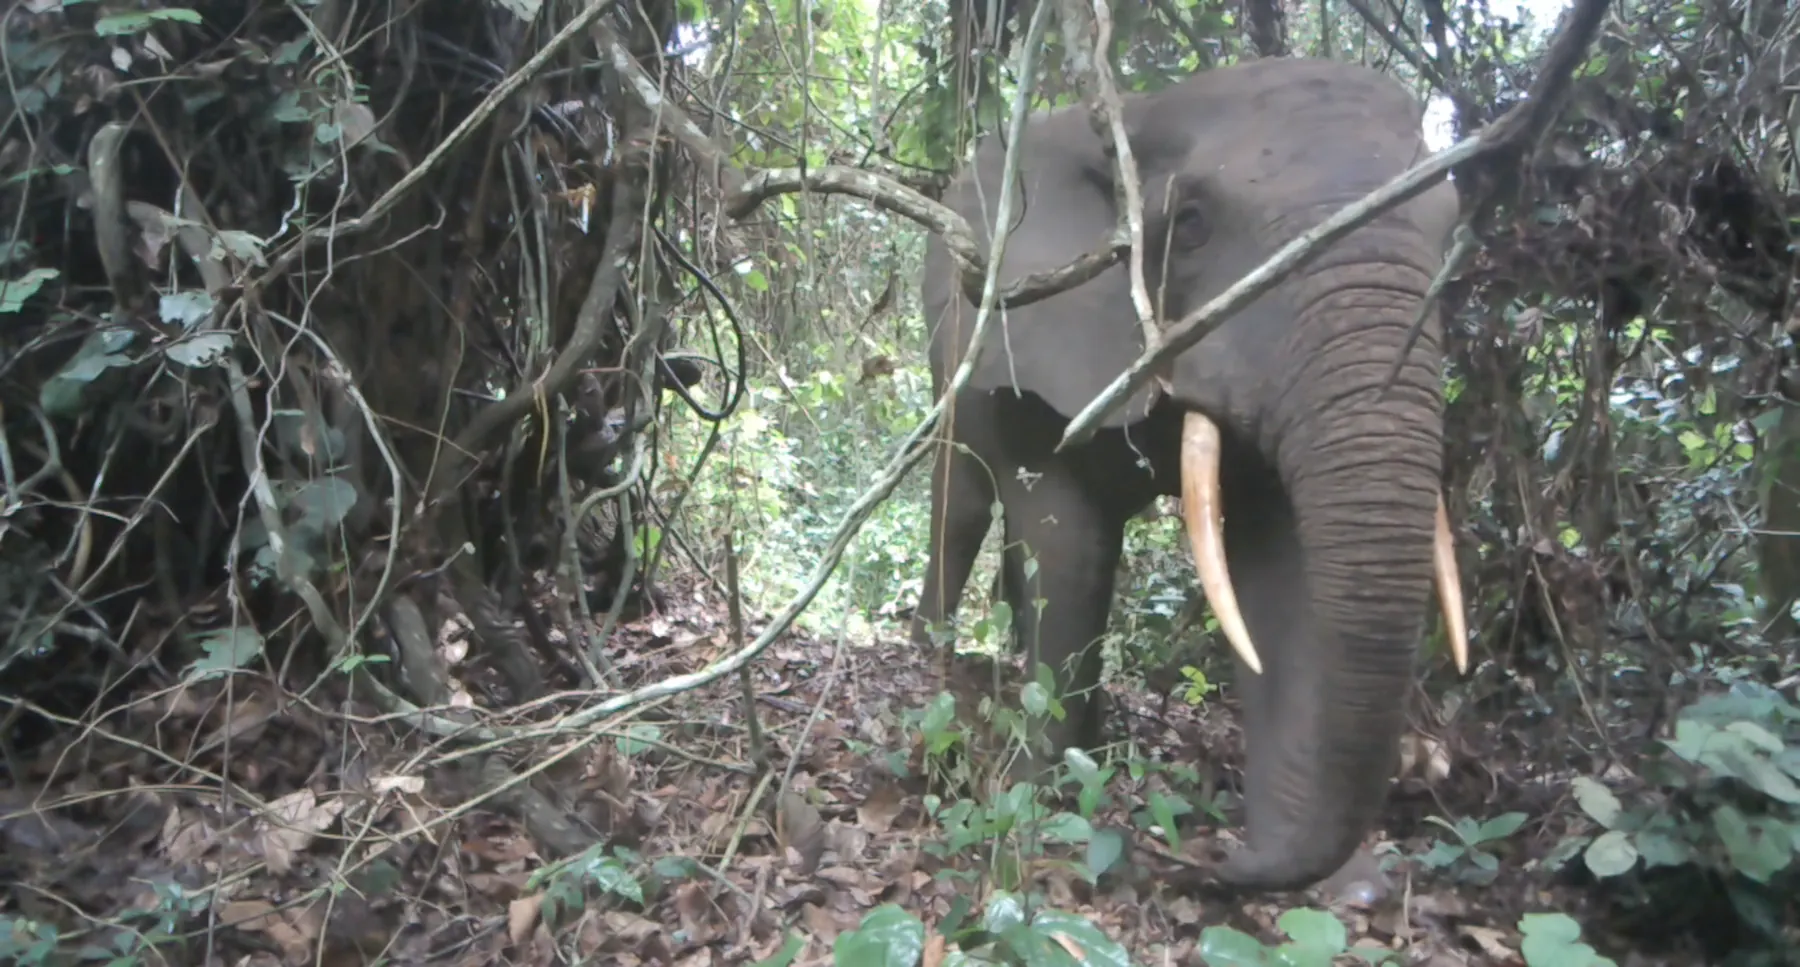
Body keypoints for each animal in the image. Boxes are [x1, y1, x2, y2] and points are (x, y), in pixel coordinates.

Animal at [909, 57, 1470, 892]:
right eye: (1194, 223)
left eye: (1448, 235)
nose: (1207, 858)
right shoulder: (1035, 332)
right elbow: (1069, 544)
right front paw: (1040, 796)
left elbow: (1275, 577)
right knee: (963, 500)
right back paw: (934, 656)